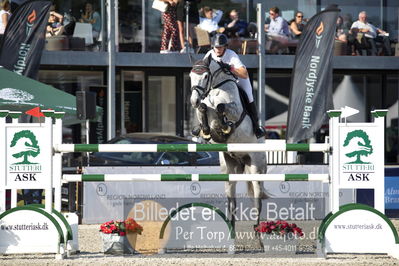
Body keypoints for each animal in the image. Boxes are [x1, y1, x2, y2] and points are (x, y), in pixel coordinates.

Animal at [190, 58, 270, 229]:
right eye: (190, 76)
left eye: (205, 76)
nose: (194, 101)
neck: (215, 89)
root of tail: (243, 159)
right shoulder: (204, 109)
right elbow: (204, 108)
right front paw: (205, 130)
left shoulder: (234, 110)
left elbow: (221, 107)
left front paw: (225, 126)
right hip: (229, 168)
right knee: (232, 201)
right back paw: (231, 227)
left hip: (256, 167)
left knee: (257, 198)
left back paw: (257, 227)